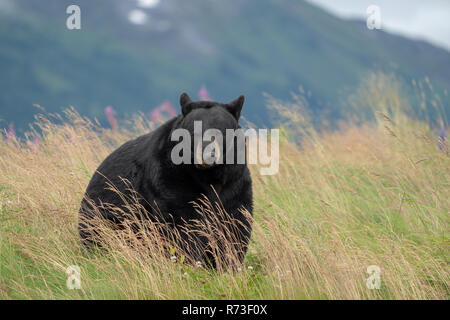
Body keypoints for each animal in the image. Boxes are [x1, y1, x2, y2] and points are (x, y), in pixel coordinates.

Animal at [78, 92, 253, 268]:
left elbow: (234, 223)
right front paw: (187, 261)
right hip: (105, 215)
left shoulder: (234, 182)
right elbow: (181, 222)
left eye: (221, 133)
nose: (207, 154)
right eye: (195, 133)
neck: (208, 175)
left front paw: (228, 264)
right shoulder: (170, 178)